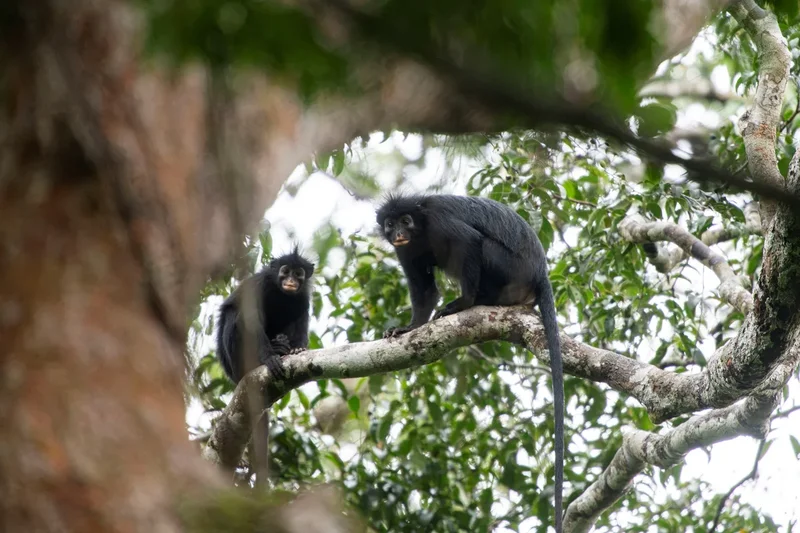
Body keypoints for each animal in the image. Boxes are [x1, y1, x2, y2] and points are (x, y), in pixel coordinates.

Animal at [216, 248, 315, 383]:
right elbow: (250, 318)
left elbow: (301, 317)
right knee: (233, 314)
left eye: (298, 273)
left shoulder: (303, 296)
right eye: (285, 272)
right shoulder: (259, 284)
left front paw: (298, 348)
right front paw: (269, 358)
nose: (290, 281)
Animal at [376, 193, 565, 533]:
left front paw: (462, 303)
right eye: (390, 223)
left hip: (510, 268)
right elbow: (424, 290)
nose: (398, 231)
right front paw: (409, 328)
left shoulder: (439, 221)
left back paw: (474, 301)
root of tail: (540, 272)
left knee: (483, 246)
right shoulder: (405, 250)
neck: (421, 230)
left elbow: (469, 241)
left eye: (406, 221)